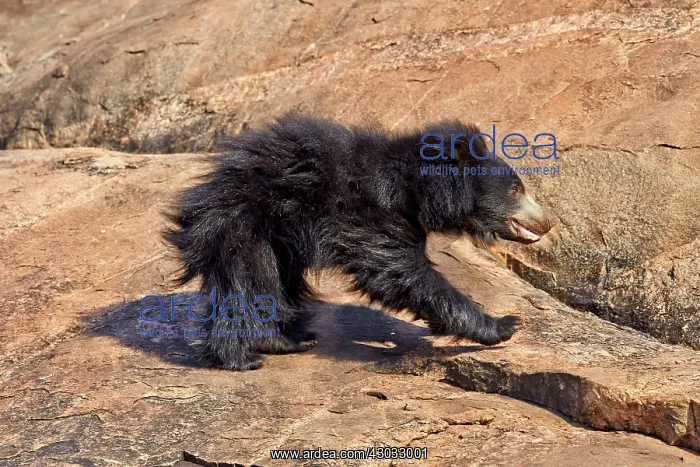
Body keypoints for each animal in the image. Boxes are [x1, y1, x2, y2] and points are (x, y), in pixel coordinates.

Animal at [164, 114, 555, 370]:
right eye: (516, 189)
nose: (548, 222)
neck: (412, 189)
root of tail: (202, 194)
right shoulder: (371, 215)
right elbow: (400, 274)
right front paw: (504, 325)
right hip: (244, 225)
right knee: (248, 283)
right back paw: (247, 356)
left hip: (275, 238)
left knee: (275, 282)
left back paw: (291, 339)